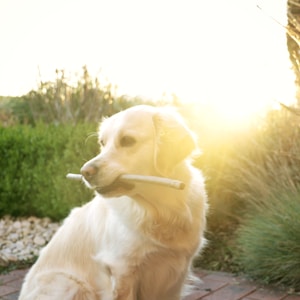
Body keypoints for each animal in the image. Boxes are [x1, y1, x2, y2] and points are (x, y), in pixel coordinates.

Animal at [18, 105, 206, 300]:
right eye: (102, 143)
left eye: (128, 140)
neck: (159, 210)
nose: (85, 172)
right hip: (70, 284)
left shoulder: (176, 275)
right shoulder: (122, 270)